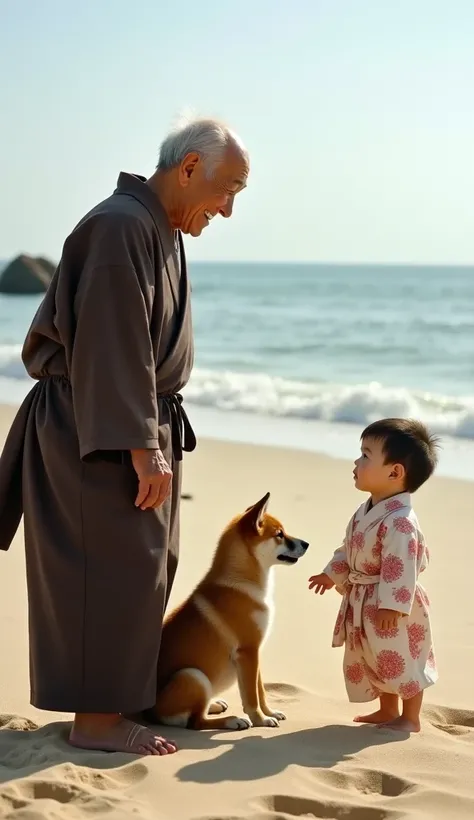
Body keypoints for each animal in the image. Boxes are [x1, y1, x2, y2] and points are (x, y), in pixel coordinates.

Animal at [148, 494, 310, 732]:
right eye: (280, 535)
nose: (307, 544)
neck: (240, 582)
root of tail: (148, 712)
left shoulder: (255, 654)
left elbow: (260, 691)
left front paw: (269, 713)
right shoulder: (248, 652)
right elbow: (251, 697)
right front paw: (260, 720)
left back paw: (215, 704)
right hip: (194, 676)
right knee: (195, 723)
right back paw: (232, 721)